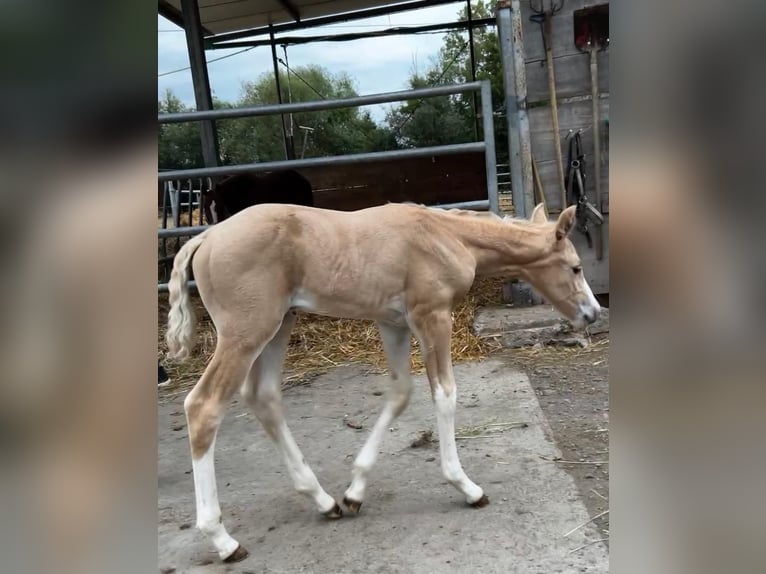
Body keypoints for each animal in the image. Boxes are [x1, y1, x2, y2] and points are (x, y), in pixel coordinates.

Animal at [165, 202, 600, 562]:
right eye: (576, 267)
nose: (593, 314)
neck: (446, 235)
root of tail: (207, 236)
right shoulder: (432, 315)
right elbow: (445, 393)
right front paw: (466, 486)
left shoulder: (393, 323)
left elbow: (401, 393)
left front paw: (355, 491)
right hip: (246, 333)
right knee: (204, 406)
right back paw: (223, 540)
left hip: (278, 325)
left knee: (263, 397)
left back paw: (323, 500)